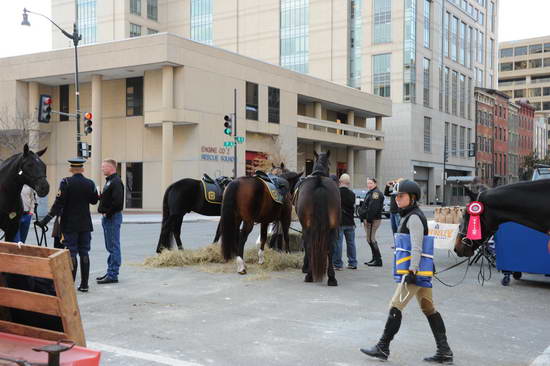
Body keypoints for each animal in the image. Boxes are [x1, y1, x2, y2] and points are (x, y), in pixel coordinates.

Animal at [296, 151, 342, 286]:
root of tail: (319, 182)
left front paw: (306, 268)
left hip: (307, 228)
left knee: (309, 246)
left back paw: (310, 275)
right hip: (332, 227)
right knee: (330, 248)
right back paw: (332, 278)